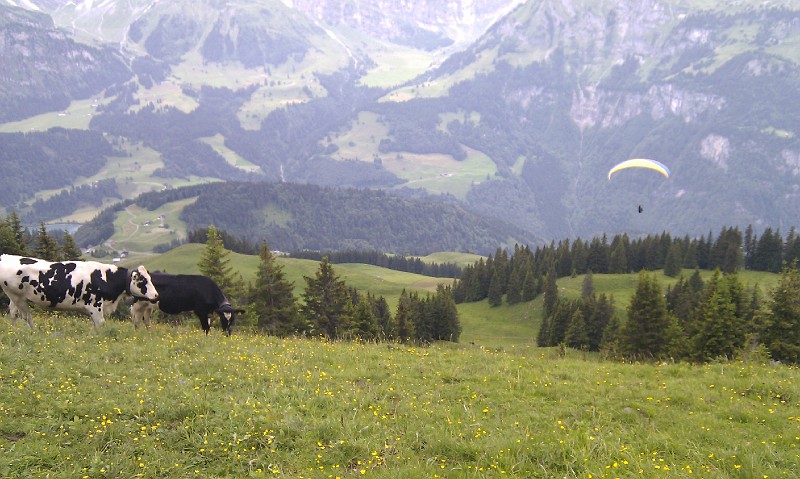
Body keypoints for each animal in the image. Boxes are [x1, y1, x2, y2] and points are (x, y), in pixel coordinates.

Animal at [0, 255, 159, 330]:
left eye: (151, 278)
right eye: (143, 281)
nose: (156, 295)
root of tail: (7, 256)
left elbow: (96, 324)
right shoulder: (95, 305)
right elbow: (100, 323)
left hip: (14, 297)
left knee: (13, 314)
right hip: (18, 297)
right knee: (26, 316)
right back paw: (34, 331)